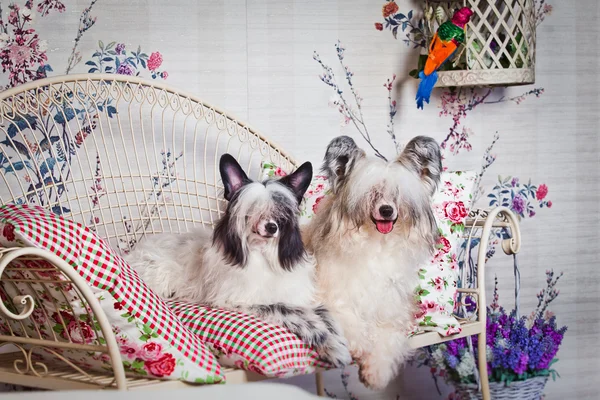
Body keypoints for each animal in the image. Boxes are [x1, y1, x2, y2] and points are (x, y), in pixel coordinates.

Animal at [127, 155, 352, 368]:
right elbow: (288, 310)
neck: (262, 255)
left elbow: (321, 312)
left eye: (281, 210)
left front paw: (335, 336)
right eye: (252, 209)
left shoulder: (298, 298)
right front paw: (331, 345)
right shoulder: (241, 301)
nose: (271, 227)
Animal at [304, 136, 440, 390]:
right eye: (372, 193)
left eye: (397, 194)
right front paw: (360, 344)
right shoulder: (329, 295)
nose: (386, 210)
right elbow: (345, 314)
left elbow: (387, 338)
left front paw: (377, 371)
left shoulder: (392, 311)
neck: (377, 245)